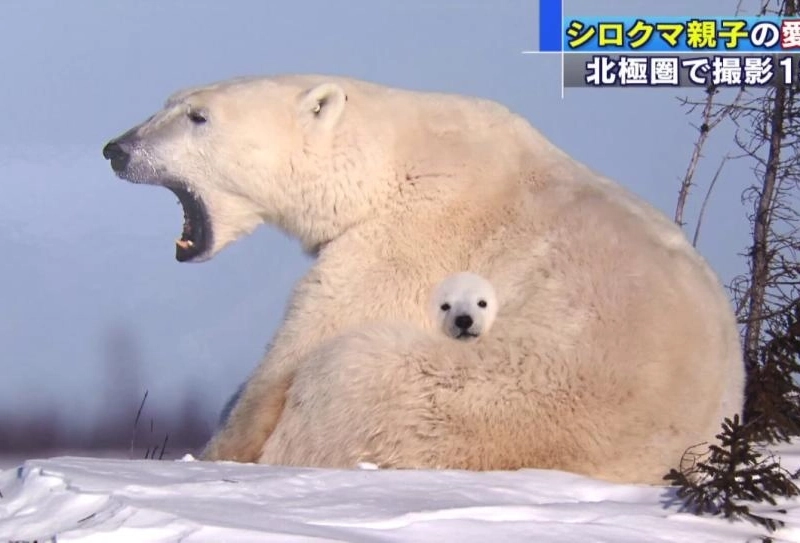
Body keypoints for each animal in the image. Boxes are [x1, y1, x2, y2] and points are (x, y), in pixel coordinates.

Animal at [101, 72, 744, 484]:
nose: (116, 148)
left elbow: (299, 349)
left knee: (347, 371)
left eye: (198, 116)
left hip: (483, 404)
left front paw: (214, 455)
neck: (388, 161)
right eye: (168, 102)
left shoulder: (410, 238)